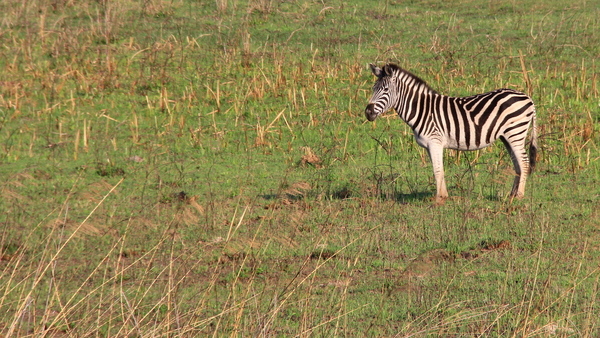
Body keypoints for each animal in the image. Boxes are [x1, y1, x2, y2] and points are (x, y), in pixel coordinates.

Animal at [366, 63, 540, 203]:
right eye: (373, 89)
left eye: (385, 90)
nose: (368, 112)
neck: (423, 109)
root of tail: (528, 98)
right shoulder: (429, 146)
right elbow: (439, 169)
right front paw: (443, 195)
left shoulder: (435, 141)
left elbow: (437, 170)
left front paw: (439, 199)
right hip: (507, 136)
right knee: (517, 164)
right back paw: (512, 194)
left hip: (515, 132)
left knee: (524, 162)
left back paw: (519, 196)